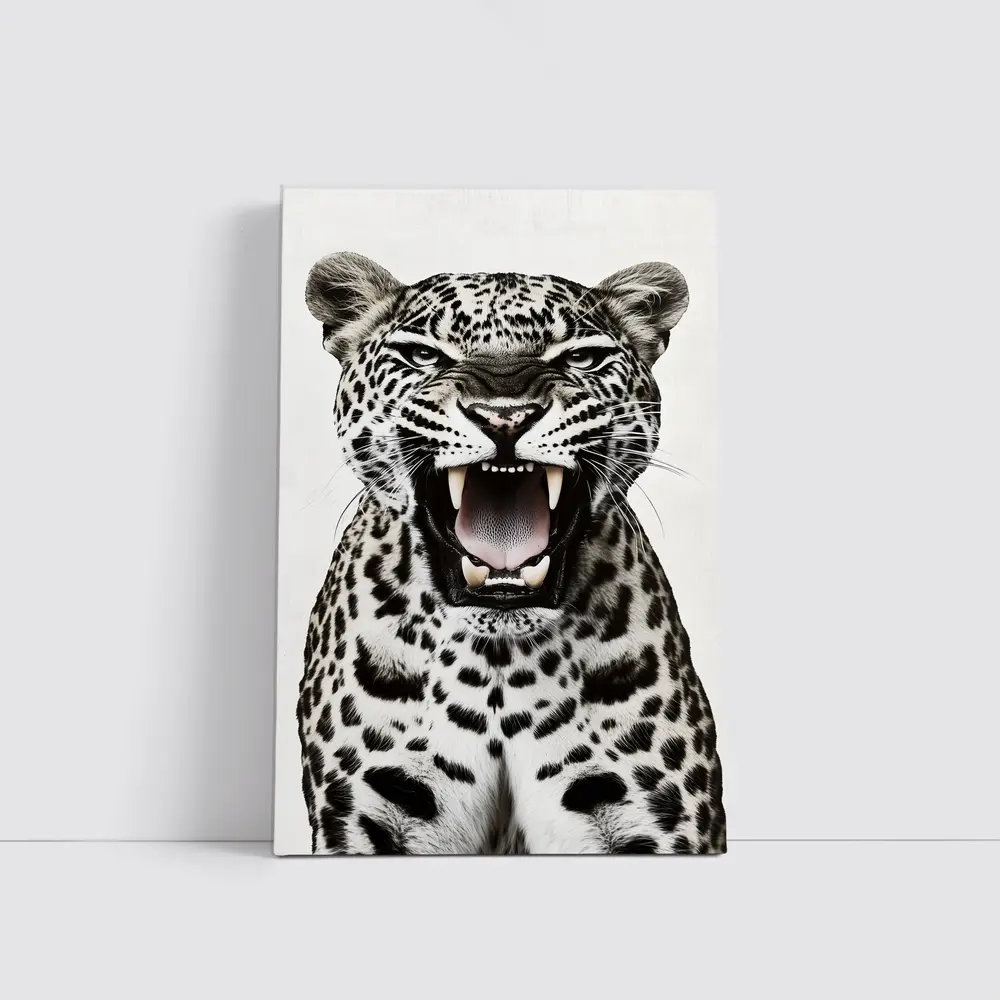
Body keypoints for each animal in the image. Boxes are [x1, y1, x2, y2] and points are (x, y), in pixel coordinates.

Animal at [296, 251, 726, 855]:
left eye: (581, 358)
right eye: (424, 355)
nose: (505, 415)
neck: (498, 664)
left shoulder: (651, 818)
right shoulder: (371, 819)